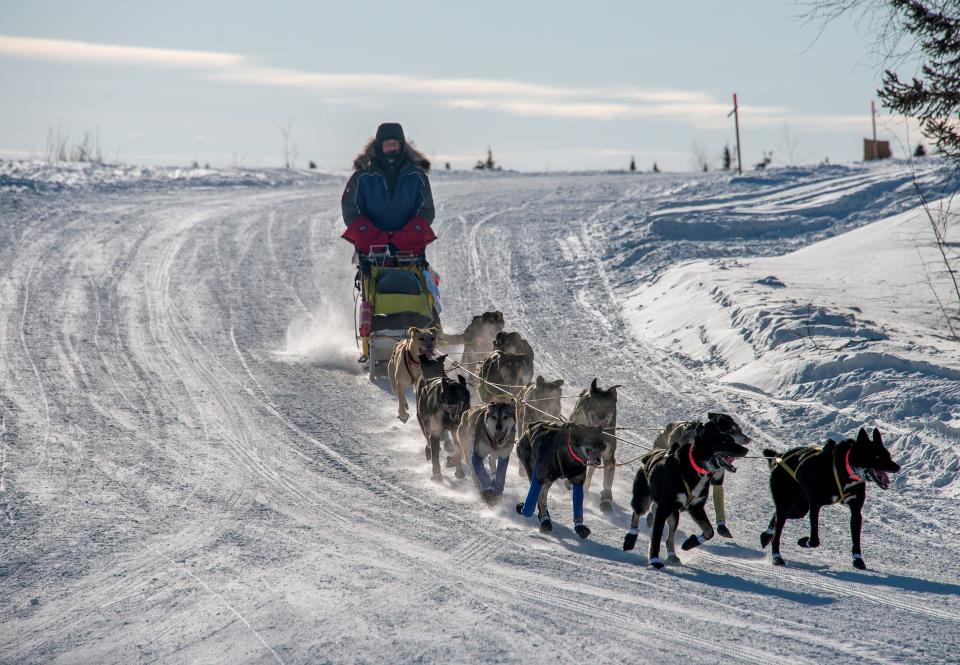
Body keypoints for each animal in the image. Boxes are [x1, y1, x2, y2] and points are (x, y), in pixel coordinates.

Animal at [568, 378, 624, 508]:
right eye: (595, 405)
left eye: (608, 407)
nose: (601, 420)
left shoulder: (609, 456)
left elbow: (608, 479)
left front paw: (606, 498)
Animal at [624, 422, 752, 568]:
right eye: (724, 441)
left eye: (732, 439)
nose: (746, 450)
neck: (697, 469)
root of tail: (652, 454)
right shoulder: (663, 509)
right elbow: (656, 536)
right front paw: (655, 560)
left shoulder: (696, 508)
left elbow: (709, 531)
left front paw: (690, 543)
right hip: (643, 500)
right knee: (637, 513)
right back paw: (630, 539)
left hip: (674, 515)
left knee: (669, 538)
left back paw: (672, 555)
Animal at [756, 428, 900, 568]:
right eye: (877, 456)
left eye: (888, 455)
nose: (898, 467)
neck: (845, 471)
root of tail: (779, 458)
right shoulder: (815, 505)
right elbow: (814, 540)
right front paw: (804, 541)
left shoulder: (855, 510)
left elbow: (856, 538)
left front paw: (857, 559)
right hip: (786, 502)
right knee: (778, 531)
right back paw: (776, 556)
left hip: (799, 508)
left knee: (779, 516)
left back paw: (767, 535)